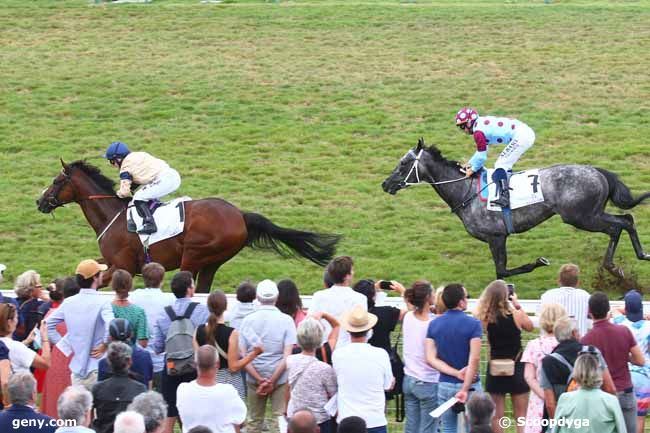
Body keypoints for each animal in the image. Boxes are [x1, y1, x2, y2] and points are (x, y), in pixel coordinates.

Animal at [36, 159, 340, 290]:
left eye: (57, 181)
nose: (40, 202)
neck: (113, 216)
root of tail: (240, 215)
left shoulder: (122, 265)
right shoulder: (108, 261)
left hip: (194, 255)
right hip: (211, 262)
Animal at [380, 138, 648, 276]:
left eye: (403, 164)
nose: (385, 184)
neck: (466, 190)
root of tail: (597, 171)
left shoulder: (496, 237)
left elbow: (502, 272)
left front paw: (539, 262)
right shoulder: (498, 238)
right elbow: (503, 271)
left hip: (581, 217)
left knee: (620, 224)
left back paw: (622, 263)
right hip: (592, 213)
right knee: (624, 221)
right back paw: (628, 261)